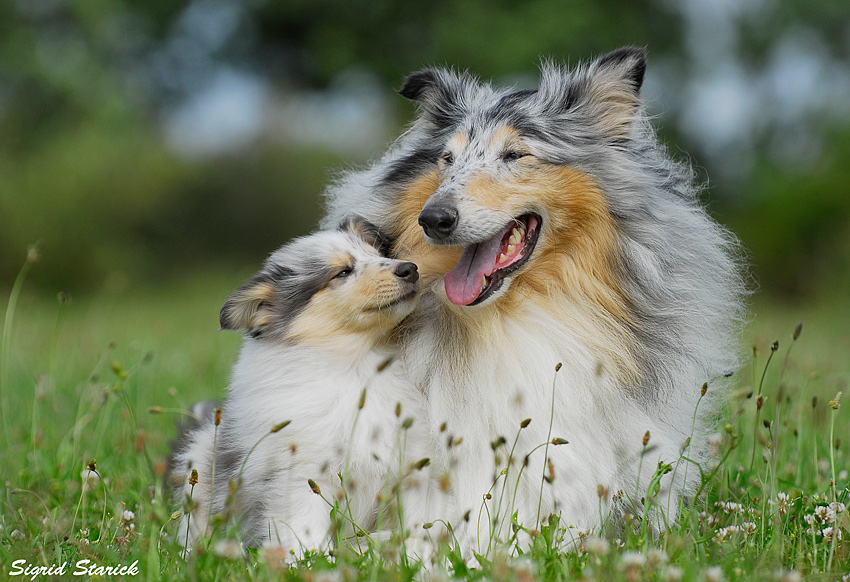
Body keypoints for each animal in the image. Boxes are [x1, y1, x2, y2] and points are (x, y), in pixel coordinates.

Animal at [171, 221, 438, 560]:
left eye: (378, 254)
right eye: (342, 272)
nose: (409, 268)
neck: (358, 366)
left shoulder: (414, 467)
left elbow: (418, 522)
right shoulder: (302, 474)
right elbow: (304, 531)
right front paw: (310, 561)